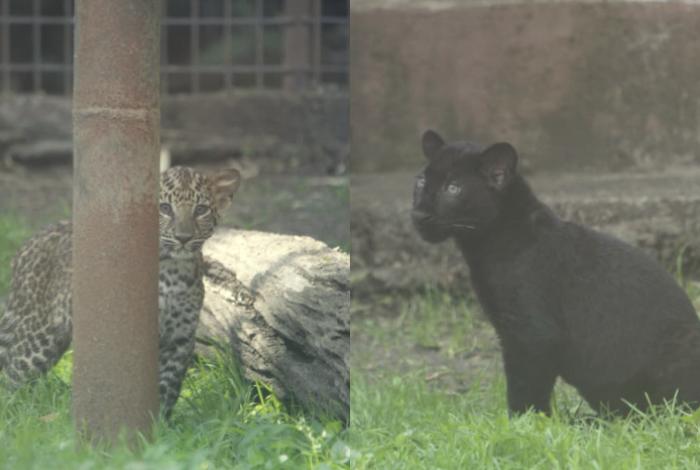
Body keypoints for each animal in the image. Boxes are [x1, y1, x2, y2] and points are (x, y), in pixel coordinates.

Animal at [0, 166, 241, 419]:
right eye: (165, 208)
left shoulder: (180, 338)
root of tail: (27, 245)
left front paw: (160, 423)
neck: (174, 272)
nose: (183, 238)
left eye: (201, 209)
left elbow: (168, 385)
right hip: (36, 337)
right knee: (13, 376)